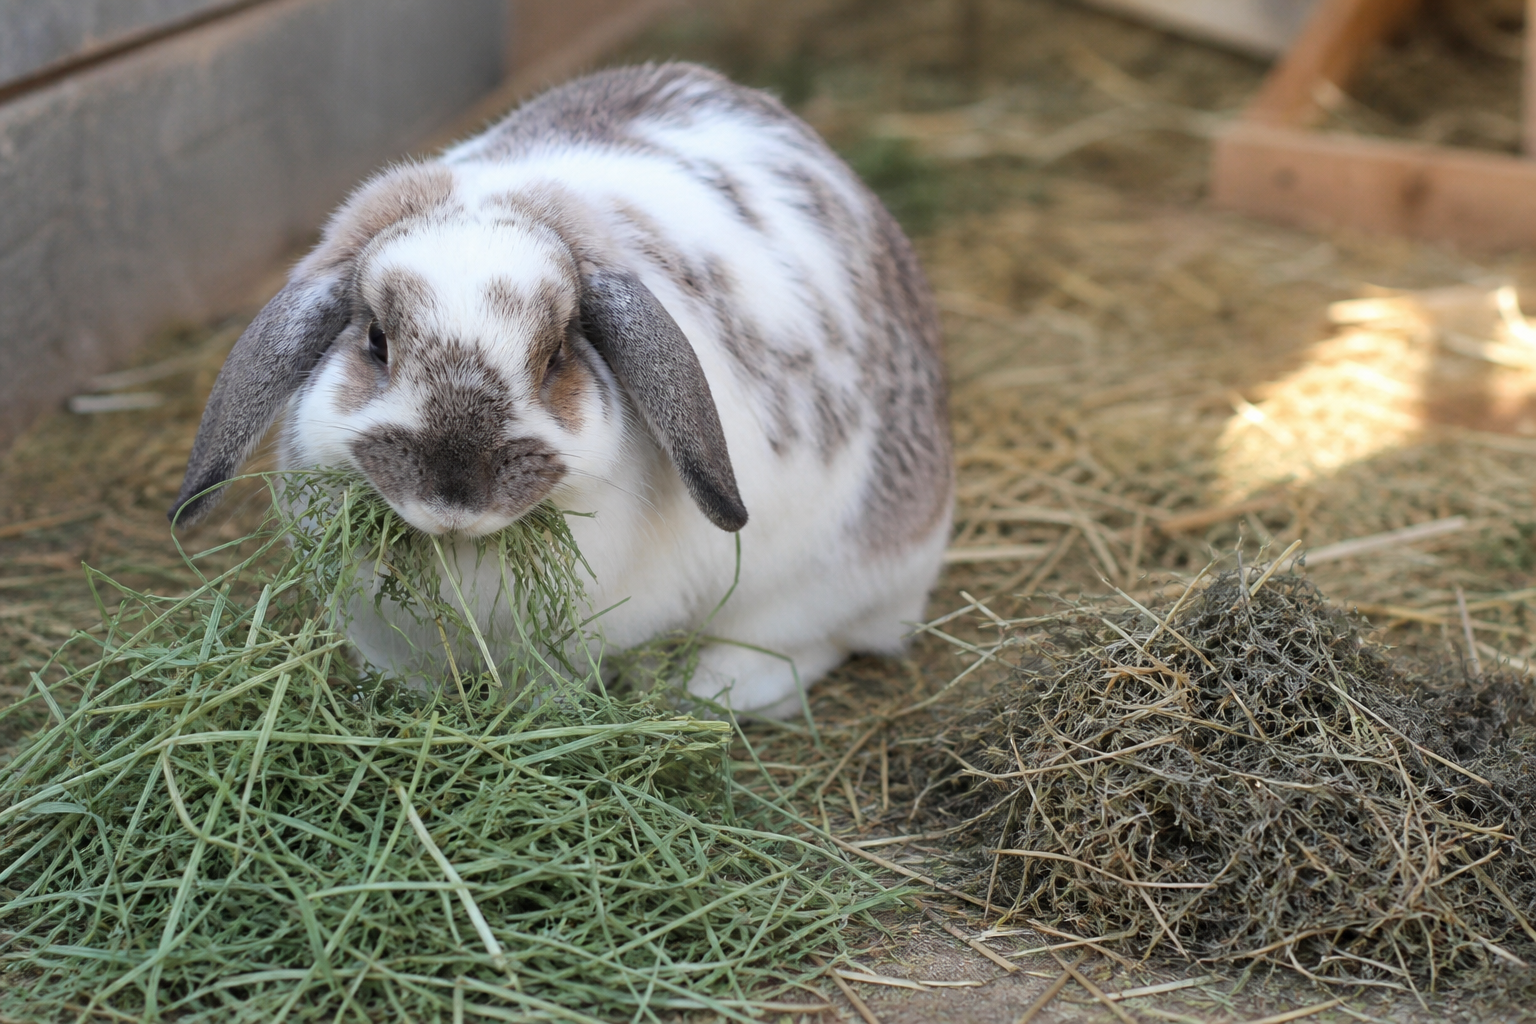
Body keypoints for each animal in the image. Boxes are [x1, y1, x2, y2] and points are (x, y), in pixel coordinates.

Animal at [169, 63, 953, 717]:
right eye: (376, 341)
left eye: (554, 358)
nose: (454, 496)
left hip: (824, 576)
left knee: (801, 644)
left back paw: (710, 689)